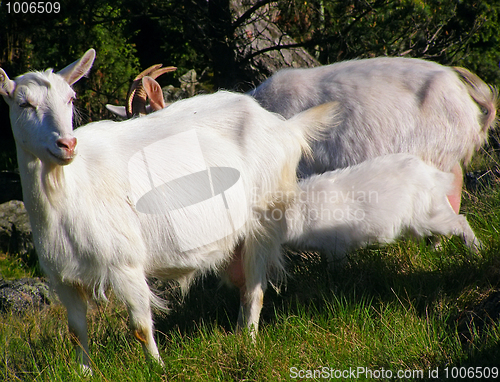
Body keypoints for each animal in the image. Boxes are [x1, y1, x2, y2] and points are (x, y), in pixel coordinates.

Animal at [0, 49, 340, 372]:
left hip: (263, 221)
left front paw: (157, 367)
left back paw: (250, 341)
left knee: (255, 289)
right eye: (24, 103)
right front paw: (85, 372)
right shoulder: (63, 277)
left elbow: (139, 325)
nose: (67, 144)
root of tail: (284, 127)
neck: (67, 191)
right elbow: (76, 331)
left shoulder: (126, 263)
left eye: (70, 98)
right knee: (244, 285)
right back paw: (238, 338)